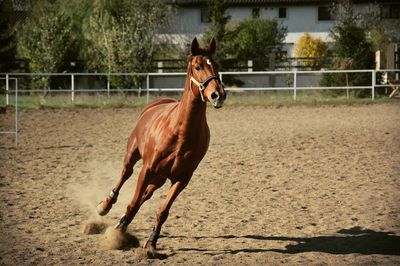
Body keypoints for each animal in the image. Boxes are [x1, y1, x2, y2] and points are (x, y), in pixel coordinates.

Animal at [97, 37, 227, 249]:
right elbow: (133, 203)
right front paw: (118, 232)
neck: (180, 132)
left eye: (216, 65)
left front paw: (151, 241)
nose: (218, 95)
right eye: (198, 66)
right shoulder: (147, 170)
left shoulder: (182, 178)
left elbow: (163, 211)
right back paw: (106, 206)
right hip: (134, 156)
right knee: (125, 175)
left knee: (146, 195)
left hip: (159, 178)